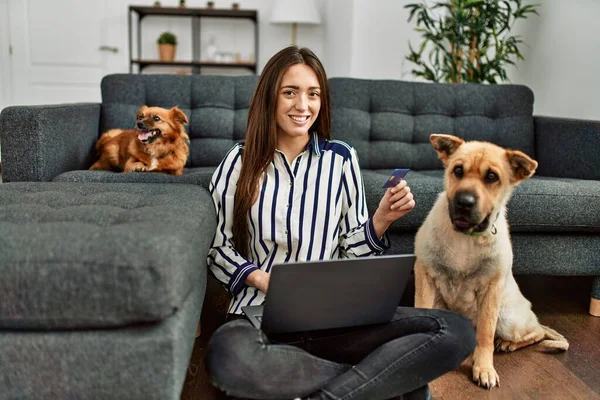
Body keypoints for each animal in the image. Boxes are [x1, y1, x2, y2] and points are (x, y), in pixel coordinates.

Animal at [412, 133, 568, 390]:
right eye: (457, 170)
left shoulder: (491, 290)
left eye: (492, 177)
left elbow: (485, 334)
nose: (464, 202)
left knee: (535, 333)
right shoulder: (425, 275)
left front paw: (484, 368)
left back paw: (508, 343)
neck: (465, 238)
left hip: (507, 317)